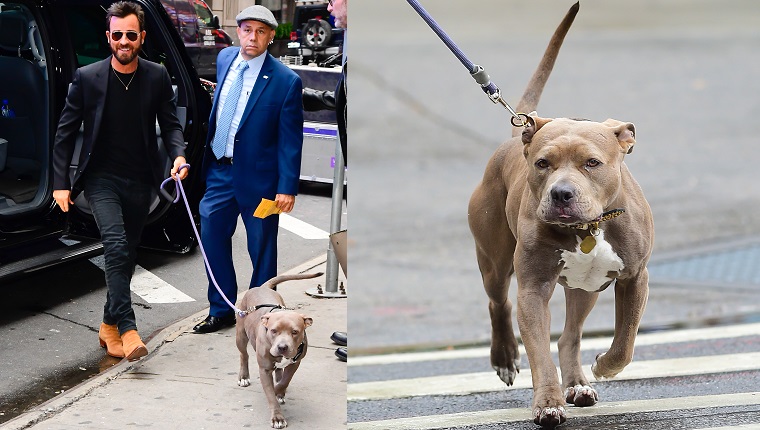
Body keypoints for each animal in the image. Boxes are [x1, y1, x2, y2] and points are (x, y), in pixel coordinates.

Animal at [236, 274, 322, 428]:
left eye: (295, 332)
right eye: (273, 330)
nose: (282, 347)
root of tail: (261, 287)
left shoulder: (295, 363)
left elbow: (285, 381)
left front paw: (279, 392)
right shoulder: (264, 369)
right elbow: (270, 394)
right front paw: (277, 417)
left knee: (279, 371)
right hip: (241, 335)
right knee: (244, 355)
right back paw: (244, 377)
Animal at [470, 2, 652, 426]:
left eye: (592, 162)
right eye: (542, 163)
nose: (561, 193)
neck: (588, 228)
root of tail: (522, 127)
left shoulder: (635, 277)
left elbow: (626, 340)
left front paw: (603, 365)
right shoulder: (534, 288)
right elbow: (538, 351)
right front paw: (548, 402)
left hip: (585, 288)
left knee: (570, 335)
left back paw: (579, 384)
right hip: (494, 260)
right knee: (498, 302)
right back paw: (505, 356)